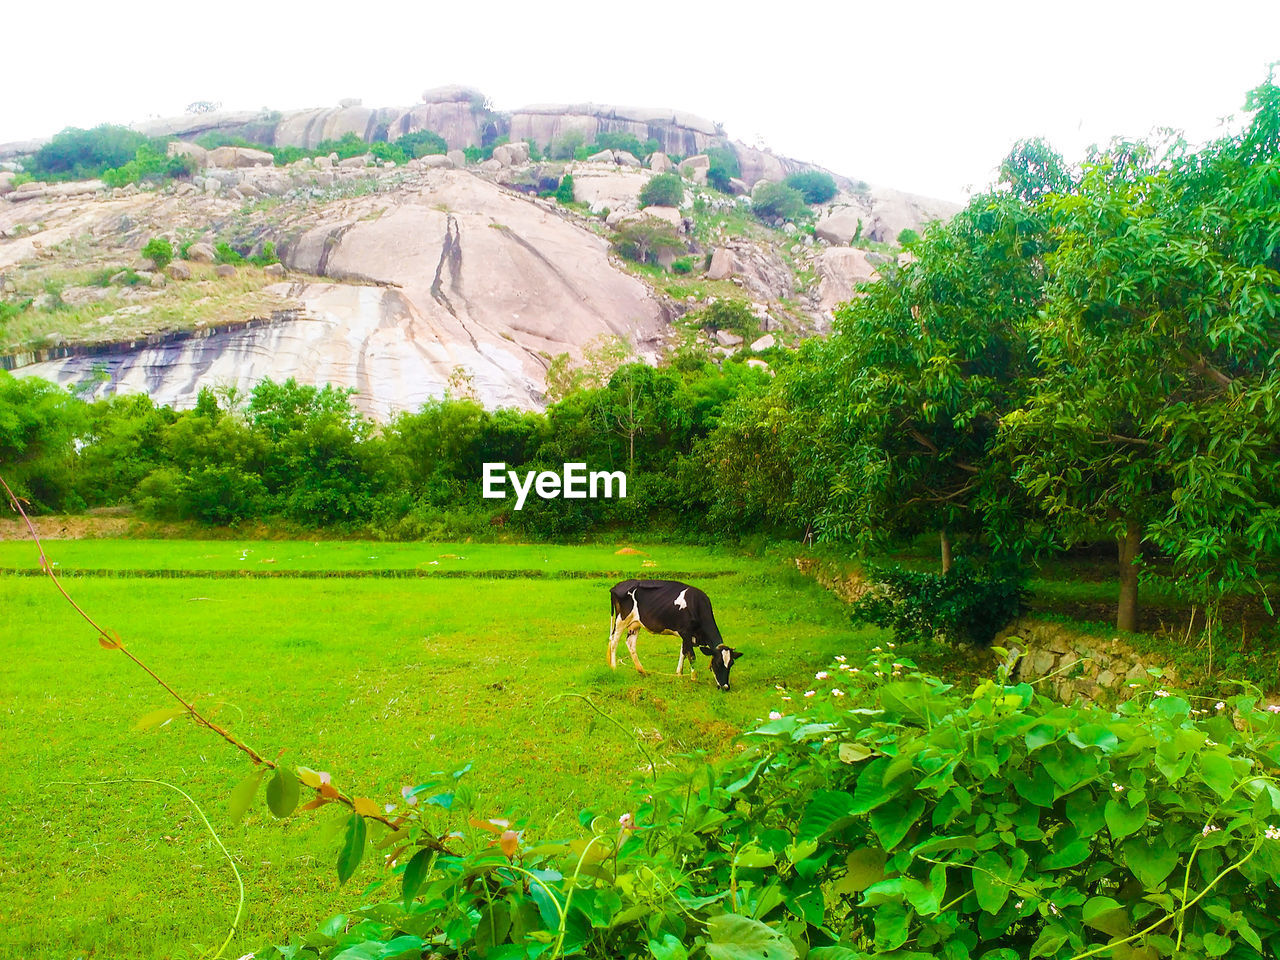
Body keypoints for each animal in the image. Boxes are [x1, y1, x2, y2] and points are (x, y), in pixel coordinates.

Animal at [606, 578, 742, 691]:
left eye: (731, 663)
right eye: (718, 663)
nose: (726, 687)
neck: (697, 605)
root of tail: (616, 586)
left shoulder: (686, 636)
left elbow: (683, 652)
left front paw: (679, 674)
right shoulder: (686, 632)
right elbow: (691, 656)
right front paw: (693, 678)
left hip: (635, 624)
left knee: (630, 643)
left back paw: (642, 671)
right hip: (621, 619)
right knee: (614, 641)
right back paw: (614, 668)